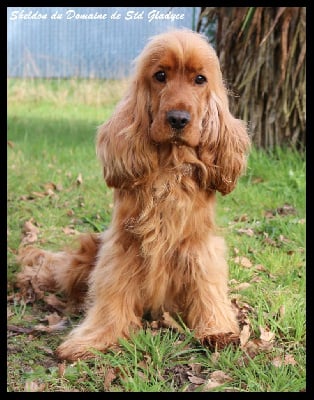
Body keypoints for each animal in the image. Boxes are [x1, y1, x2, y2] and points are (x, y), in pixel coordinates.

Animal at [16, 28, 250, 360]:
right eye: (160, 75)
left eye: (200, 79)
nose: (178, 119)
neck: (169, 165)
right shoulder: (123, 246)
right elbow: (112, 292)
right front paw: (93, 338)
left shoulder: (199, 245)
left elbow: (207, 286)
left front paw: (217, 329)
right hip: (85, 256)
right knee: (55, 270)